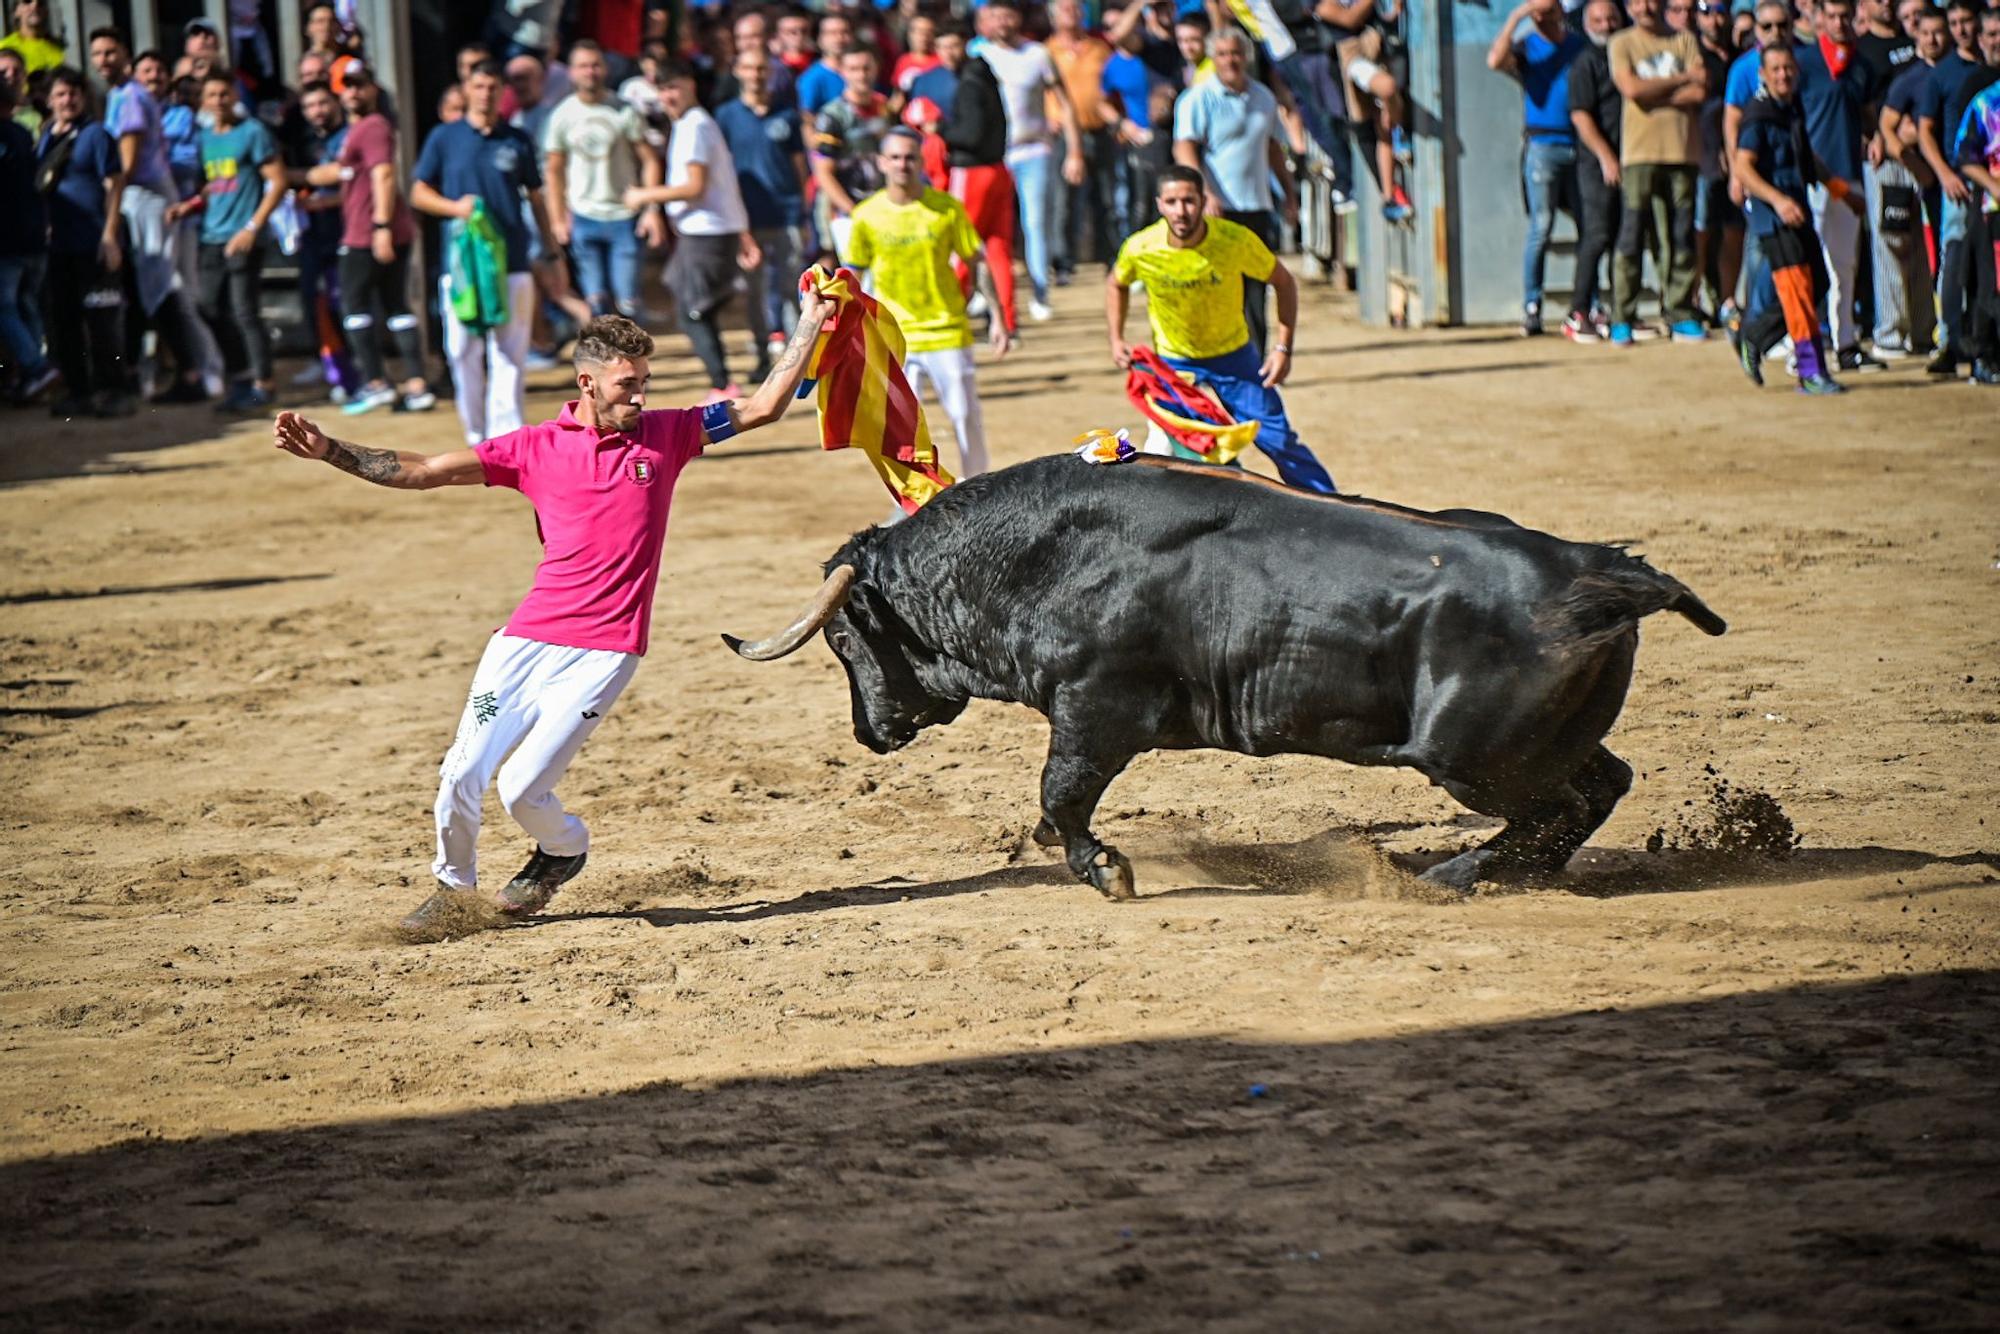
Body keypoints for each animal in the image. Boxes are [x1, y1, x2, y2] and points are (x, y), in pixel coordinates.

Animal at [728, 454, 1728, 904]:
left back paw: (1455, 871)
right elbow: (1057, 802)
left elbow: (1060, 797)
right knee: (1599, 787)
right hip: (1537, 746)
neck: (1039, 556)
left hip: (1472, 759)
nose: (870, 732)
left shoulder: (1092, 709)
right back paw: (1489, 872)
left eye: (842, 639)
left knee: (1556, 805)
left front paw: (1106, 871)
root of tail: (1599, 575)